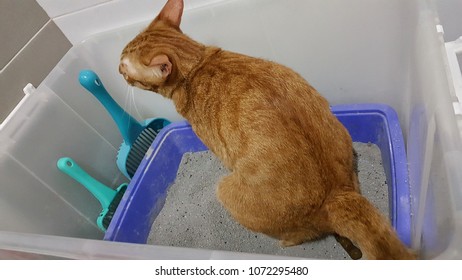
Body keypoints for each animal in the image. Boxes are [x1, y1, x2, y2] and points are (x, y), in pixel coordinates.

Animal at [119, 0, 416, 260]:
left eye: (122, 66)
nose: (117, 69)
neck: (198, 63)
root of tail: (337, 194)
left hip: (225, 190)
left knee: (300, 235)